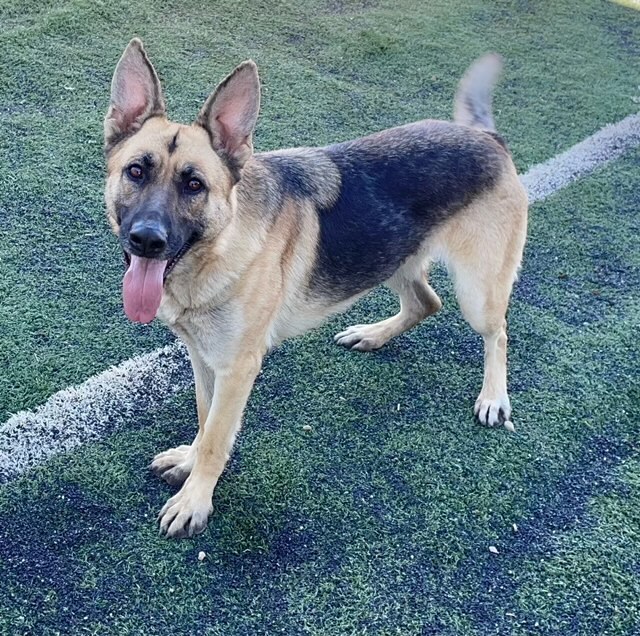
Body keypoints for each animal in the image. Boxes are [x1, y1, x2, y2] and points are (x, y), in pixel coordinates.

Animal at [104, 38, 524, 536]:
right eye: (136, 172)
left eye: (194, 185)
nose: (147, 240)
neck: (221, 246)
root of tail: (488, 138)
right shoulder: (204, 359)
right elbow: (205, 420)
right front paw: (189, 464)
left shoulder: (237, 368)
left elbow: (216, 438)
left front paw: (195, 499)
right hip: (391, 257)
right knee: (425, 302)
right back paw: (374, 335)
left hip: (477, 293)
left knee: (497, 332)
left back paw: (494, 396)